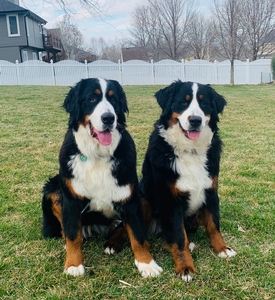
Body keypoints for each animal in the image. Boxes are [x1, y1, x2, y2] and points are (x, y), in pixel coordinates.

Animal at [41, 77, 163, 276]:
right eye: (92, 98)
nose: (109, 118)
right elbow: (73, 234)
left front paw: (147, 264)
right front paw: (73, 264)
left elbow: (137, 235)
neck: (97, 154)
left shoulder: (130, 199)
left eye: (113, 99)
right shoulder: (71, 200)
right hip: (52, 190)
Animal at [140, 80, 237, 282]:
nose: (195, 120)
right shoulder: (171, 201)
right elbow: (178, 238)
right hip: (144, 196)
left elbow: (213, 225)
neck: (190, 150)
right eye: (183, 102)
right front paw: (185, 267)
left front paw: (222, 248)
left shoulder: (210, 191)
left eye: (204, 103)